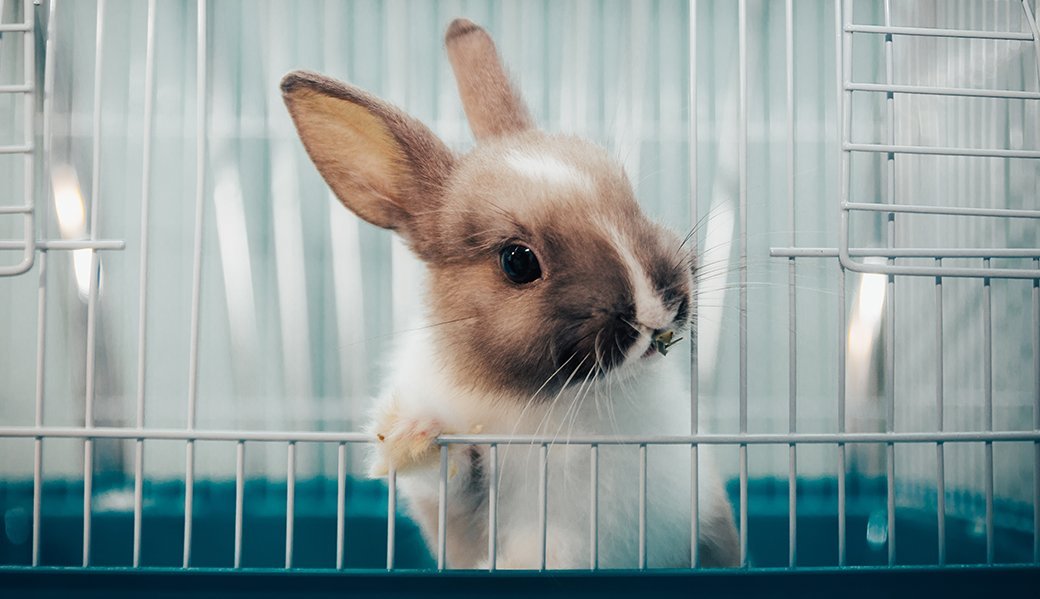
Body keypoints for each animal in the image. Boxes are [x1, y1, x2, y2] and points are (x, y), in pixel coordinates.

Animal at [281, 18, 738, 570]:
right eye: (518, 261)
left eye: (631, 200)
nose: (655, 308)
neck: (566, 398)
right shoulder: (467, 507)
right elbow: (452, 479)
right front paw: (414, 435)